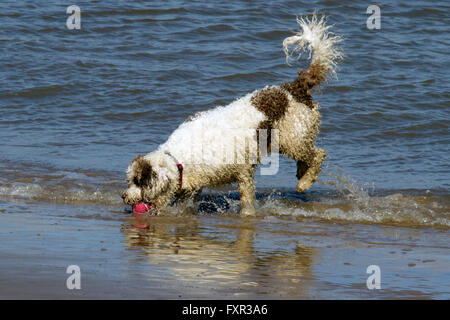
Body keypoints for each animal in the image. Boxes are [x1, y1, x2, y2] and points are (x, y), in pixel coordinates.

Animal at [121, 14, 342, 215]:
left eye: (138, 182)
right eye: (130, 180)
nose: (123, 196)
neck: (180, 159)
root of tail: (295, 87)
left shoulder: (243, 171)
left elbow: (247, 198)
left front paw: (247, 215)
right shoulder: (194, 183)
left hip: (293, 139)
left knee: (319, 154)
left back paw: (305, 182)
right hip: (289, 139)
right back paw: (301, 172)